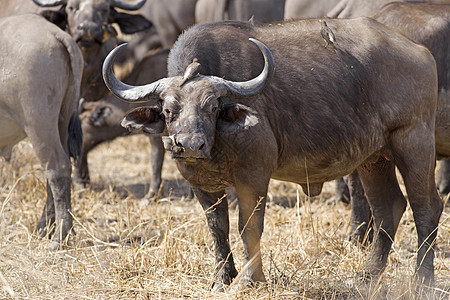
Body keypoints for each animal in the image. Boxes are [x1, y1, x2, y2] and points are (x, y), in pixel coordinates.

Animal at [0, 13, 83, 248]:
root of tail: (53, 32)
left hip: (38, 124)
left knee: (58, 168)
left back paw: (59, 237)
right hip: (61, 124)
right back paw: (45, 228)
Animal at [103, 18, 442, 288]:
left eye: (212, 107)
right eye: (168, 110)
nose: (189, 145)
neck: (219, 139)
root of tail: (421, 53)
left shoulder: (254, 175)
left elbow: (248, 226)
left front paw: (251, 279)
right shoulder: (199, 183)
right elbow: (218, 227)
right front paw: (222, 277)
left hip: (413, 142)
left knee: (426, 207)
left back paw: (422, 280)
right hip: (374, 159)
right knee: (388, 209)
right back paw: (366, 278)